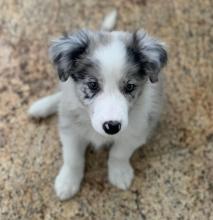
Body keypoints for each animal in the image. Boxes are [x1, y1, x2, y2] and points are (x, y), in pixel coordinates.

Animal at [28, 10, 168, 201]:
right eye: (93, 85)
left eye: (130, 87)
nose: (112, 127)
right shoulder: (70, 130)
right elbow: (72, 158)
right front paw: (67, 182)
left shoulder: (137, 131)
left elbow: (119, 153)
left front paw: (119, 173)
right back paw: (41, 107)